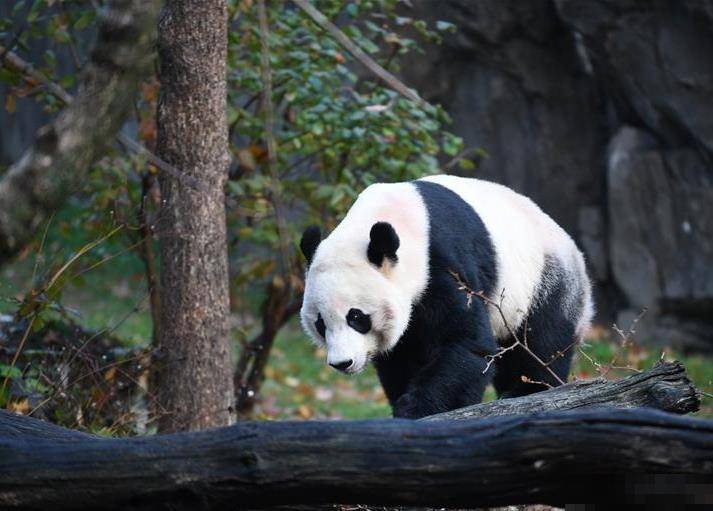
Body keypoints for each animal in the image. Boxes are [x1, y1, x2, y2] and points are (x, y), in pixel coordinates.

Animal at [298, 174, 592, 418]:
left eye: (357, 317)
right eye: (320, 323)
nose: (342, 363)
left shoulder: (442, 261)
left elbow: (465, 342)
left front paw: (415, 408)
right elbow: (401, 356)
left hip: (544, 278)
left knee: (541, 339)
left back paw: (527, 390)